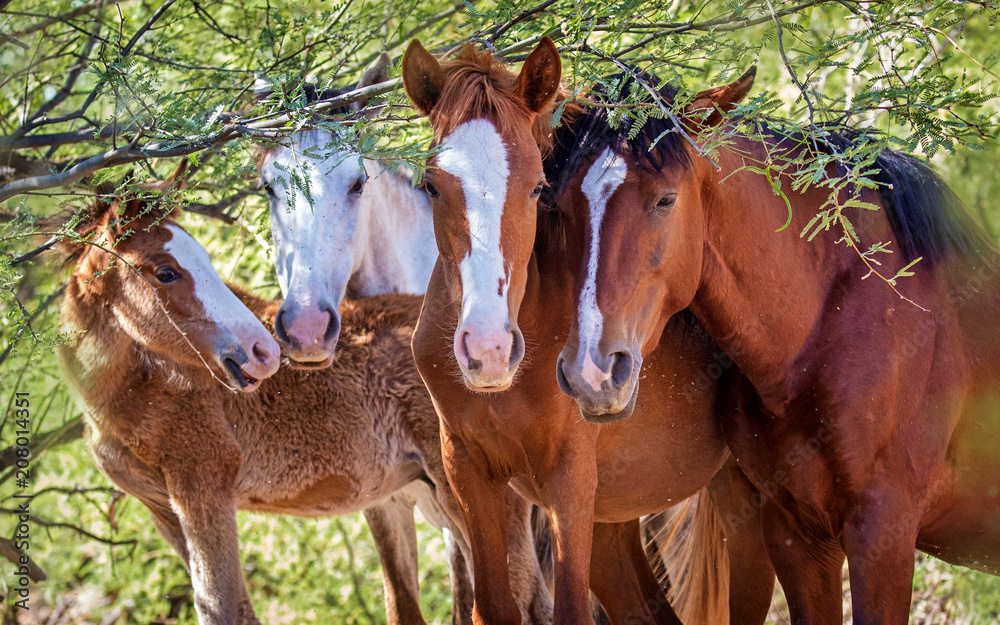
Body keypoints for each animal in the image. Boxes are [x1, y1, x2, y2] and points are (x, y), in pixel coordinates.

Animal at [56, 173, 549, 625]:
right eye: (165, 271)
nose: (262, 351)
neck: (143, 388)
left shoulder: (204, 493)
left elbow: (220, 607)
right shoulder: (163, 509)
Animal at [401, 38, 776, 625]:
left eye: (538, 187)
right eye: (431, 186)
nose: (489, 349)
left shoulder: (570, 478)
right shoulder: (467, 470)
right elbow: (493, 608)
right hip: (614, 528)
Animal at [553, 68, 1000, 623]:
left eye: (665, 200)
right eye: (561, 207)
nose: (591, 373)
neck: (824, 332)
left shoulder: (883, 533)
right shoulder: (795, 533)